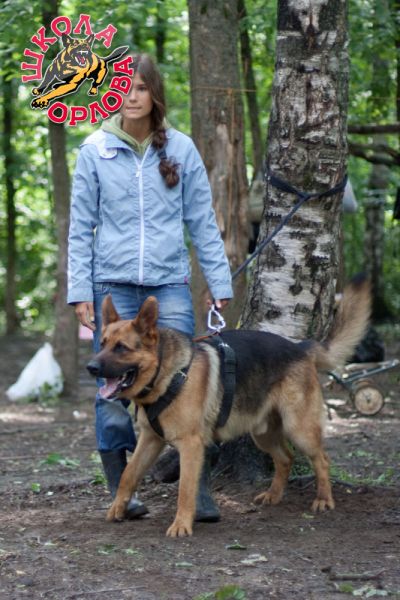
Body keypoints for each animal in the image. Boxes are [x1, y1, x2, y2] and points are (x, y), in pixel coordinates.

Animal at [87, 276, 371, 537]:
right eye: (102, 344)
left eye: (121, 348)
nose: (91, 367)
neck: (167, 374)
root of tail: (301, 348)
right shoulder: (151, 439)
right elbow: (128, 473)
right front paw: (118, 508)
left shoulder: (190, 445)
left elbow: (186, 488)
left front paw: (181, 524)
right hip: (263, 434)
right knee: (285, 458)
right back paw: (274, 495)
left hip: (299, 429)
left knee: (321, 459)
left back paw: (324, 499)